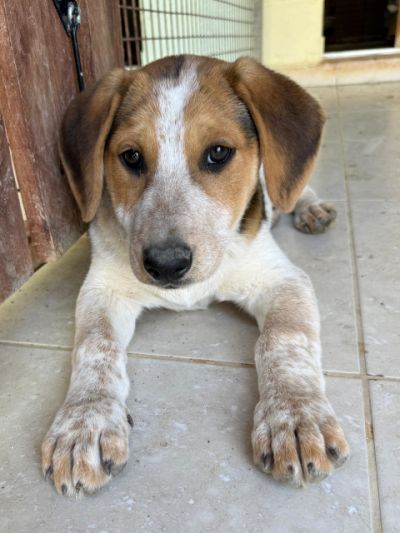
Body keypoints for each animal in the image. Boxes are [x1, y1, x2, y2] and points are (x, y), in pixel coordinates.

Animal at [41, 55, 349, 496]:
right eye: (131, 157)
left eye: (218, 152)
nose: (166, 264)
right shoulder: (102, 290)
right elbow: (95, 347)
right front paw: (84, 423)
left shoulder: (284, 280)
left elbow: (282, 339)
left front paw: (294, 416)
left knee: (292, 188)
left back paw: (311, 208)